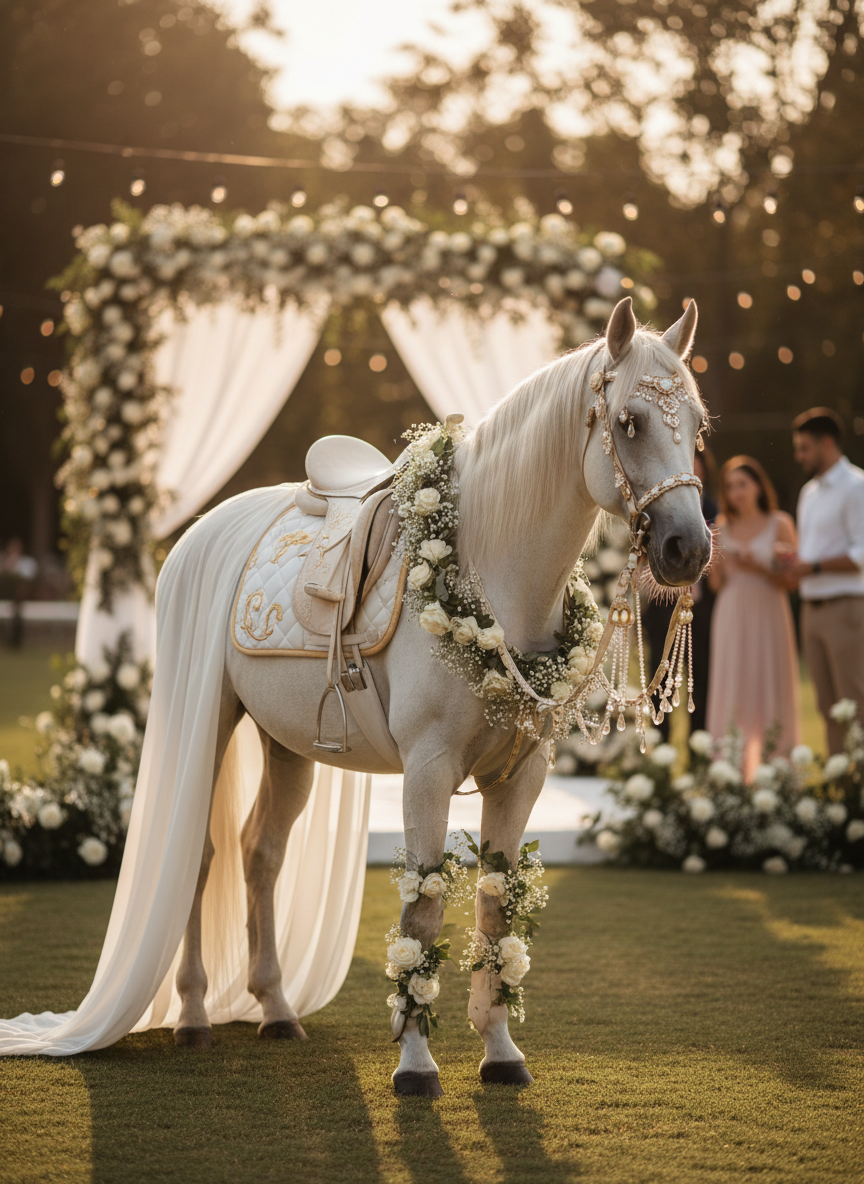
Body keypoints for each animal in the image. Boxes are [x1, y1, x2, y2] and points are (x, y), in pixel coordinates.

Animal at [169, 296, 712, 1096]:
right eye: (629, 422)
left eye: (697, 425)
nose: (688, 548)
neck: (492, 575)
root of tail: (203, 531)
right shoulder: (426, 771)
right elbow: (423, 910)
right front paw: (416, 1063)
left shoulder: (522, 775)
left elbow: (495, 906)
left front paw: (499, 1049)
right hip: (207, 727)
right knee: (198, 859)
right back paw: (193, 1015)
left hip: (286, 745)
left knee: (259, 854)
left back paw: (274, 1008)